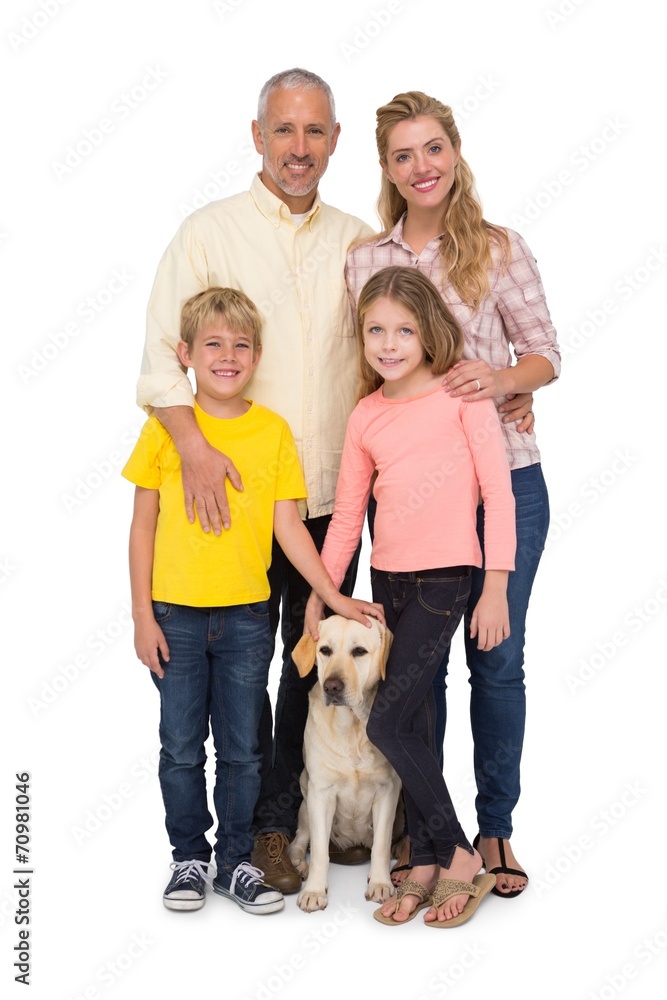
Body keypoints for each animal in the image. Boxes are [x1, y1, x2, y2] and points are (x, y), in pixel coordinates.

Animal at [288, 612, 402, 912]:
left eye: (359, 651)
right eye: (325, 650)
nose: (332, 686)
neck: (352, 727)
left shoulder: (387, 790)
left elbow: (381, 846)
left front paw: (380, 883)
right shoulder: (321, 793)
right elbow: (318, 852)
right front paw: (314, 890)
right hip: (305, 798)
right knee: (300, 841)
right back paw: (297, 864)